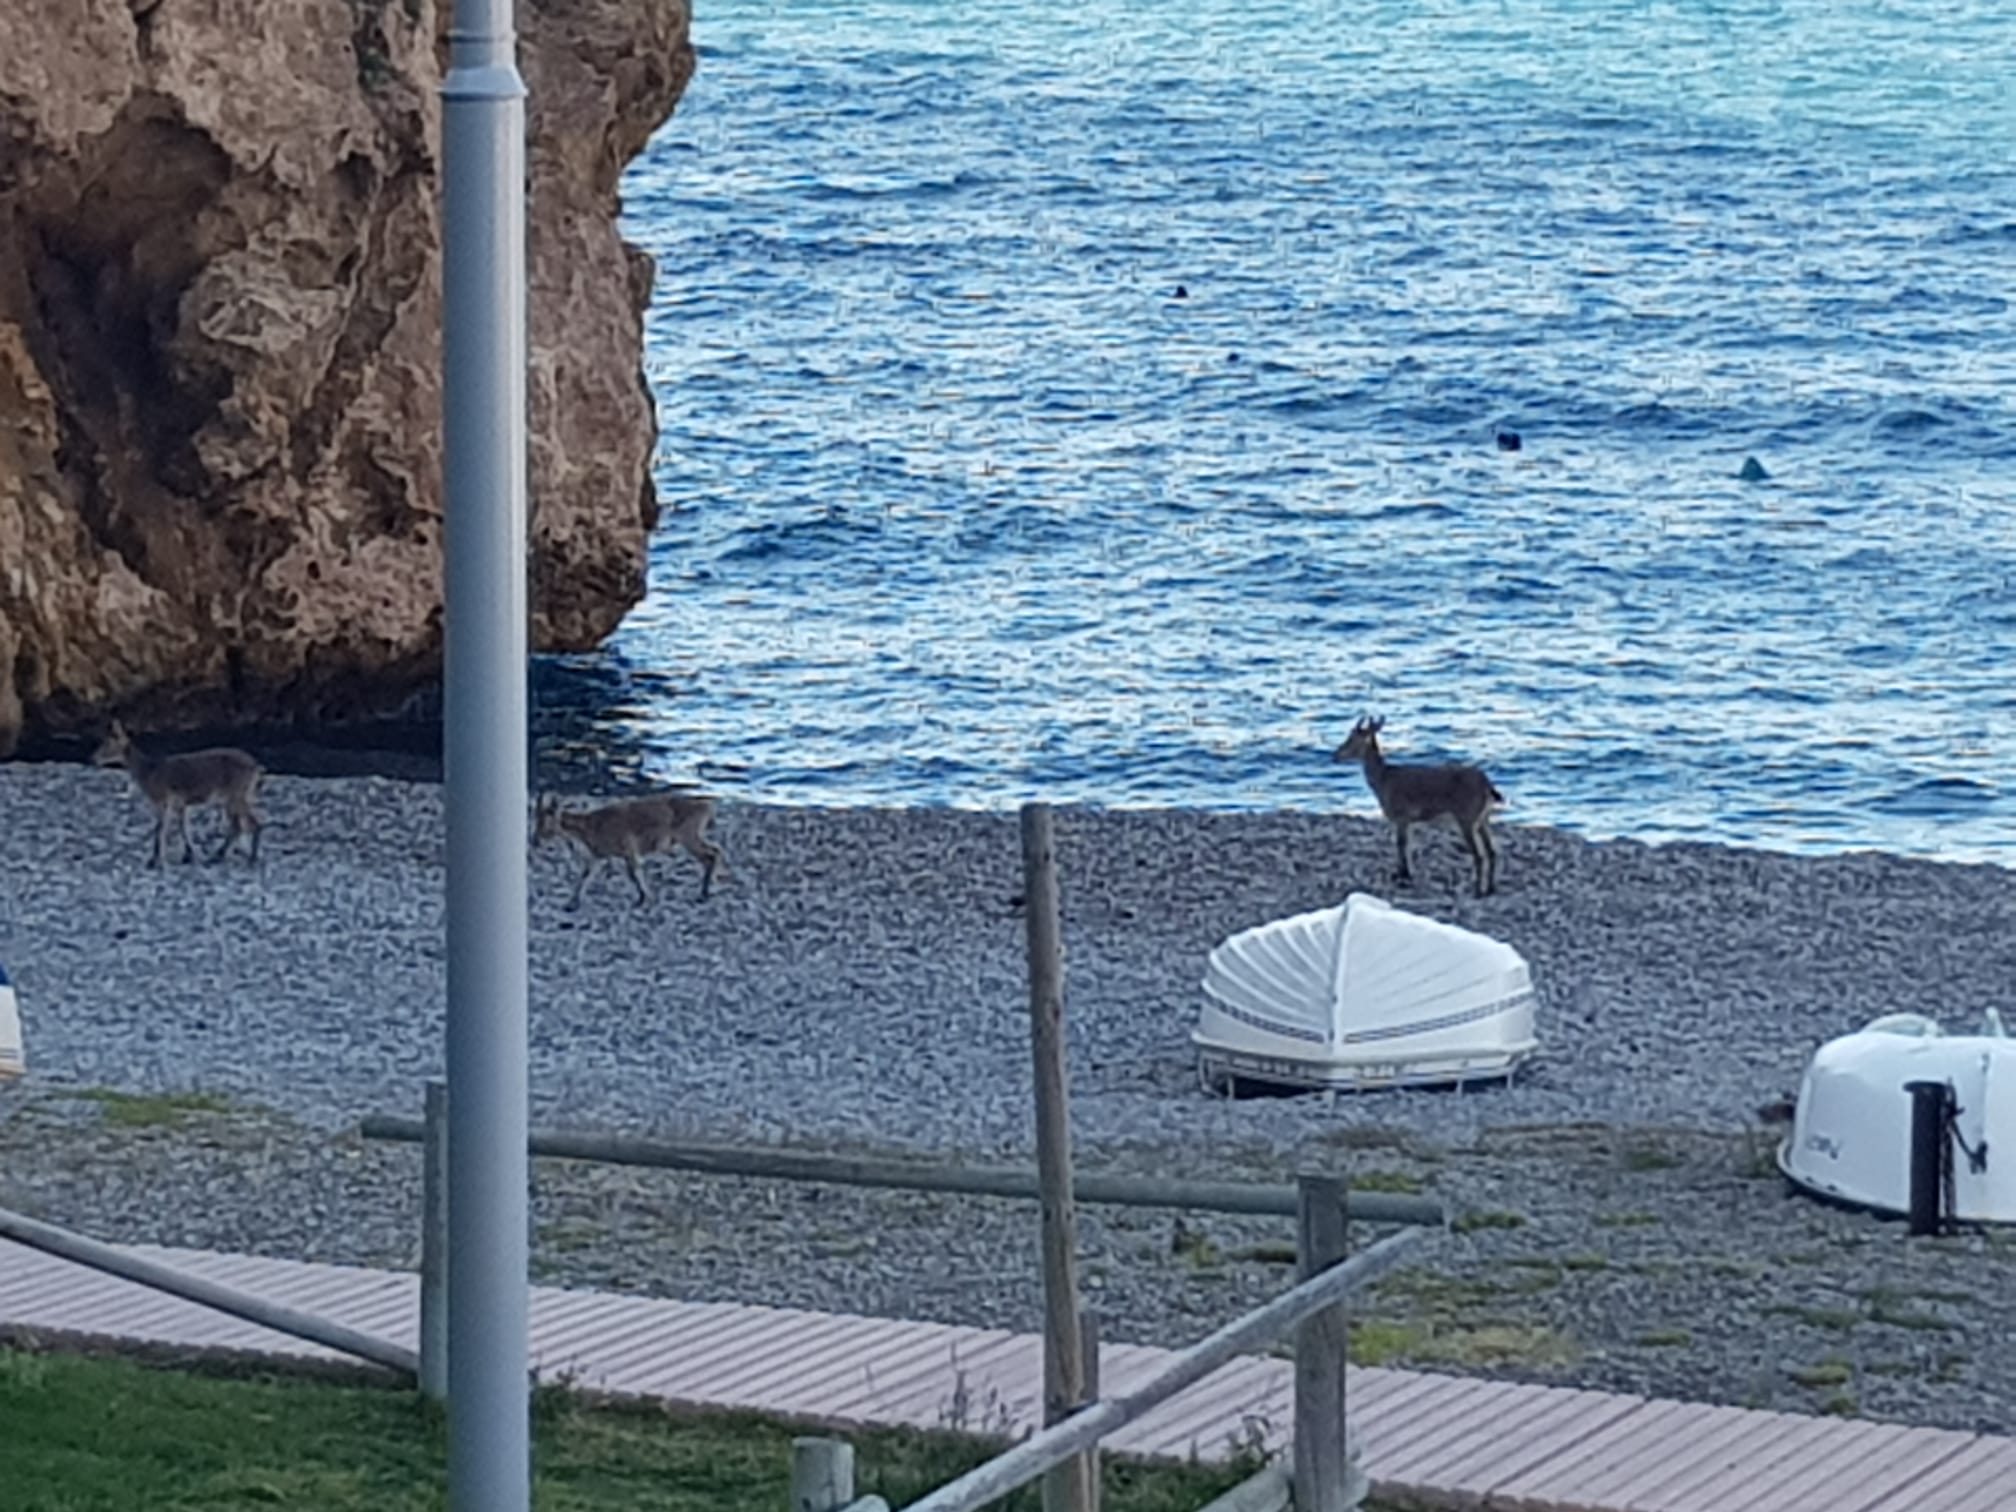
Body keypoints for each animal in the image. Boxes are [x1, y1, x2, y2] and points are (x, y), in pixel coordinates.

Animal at [93, 719, 265, 867]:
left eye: (107, 743)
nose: (93, 758)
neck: (147, 773)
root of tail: (256, 767)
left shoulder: (162, 799)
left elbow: (160, 829)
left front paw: (154, 860)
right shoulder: (180, 803)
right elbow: (183, 827)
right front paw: (187, 855)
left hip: (236, 794)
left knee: (249, 823)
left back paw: (247, 858)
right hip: (237, 796)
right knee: (240, 825)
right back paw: (225, 855)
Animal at [534, 791, 726, 909]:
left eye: (546, 820)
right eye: (537, 818)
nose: (535, 840)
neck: (590, 826)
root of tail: (705, 807)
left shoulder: (628, 849)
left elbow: (633, 874)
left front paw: (643, 899)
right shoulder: (597, 856)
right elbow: (584, 876)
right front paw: (571, 903)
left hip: (688, 836)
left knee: (711, 854)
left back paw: (704, 893)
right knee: (714, 851)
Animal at [1334, 715, 1503, 896]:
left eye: (1352, 738)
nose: (1335, 755)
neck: (1383, 781)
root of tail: (1488, 786)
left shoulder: (1402, 814)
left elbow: (1401, 844)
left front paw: (1404, 875)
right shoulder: (1407, 819)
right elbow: (1405, 844)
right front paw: (1403, 873)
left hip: (1467, 816)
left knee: (1479, 854)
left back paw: (1478, 890)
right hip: (1484, 817)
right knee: (1492, 851)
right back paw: (1491, 888)